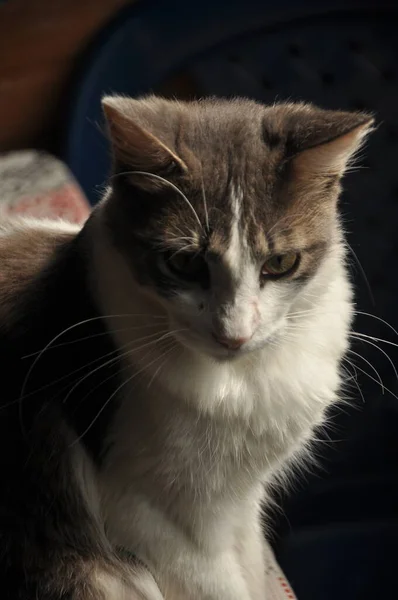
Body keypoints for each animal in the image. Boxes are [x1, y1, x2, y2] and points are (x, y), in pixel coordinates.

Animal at [0, 96, 374, 596]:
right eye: (182, 263)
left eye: (280, 262)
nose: (234, 334)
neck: (240, 380)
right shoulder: (153, 519)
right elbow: (225, 586)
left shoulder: (242, 503)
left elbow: (252, 565)